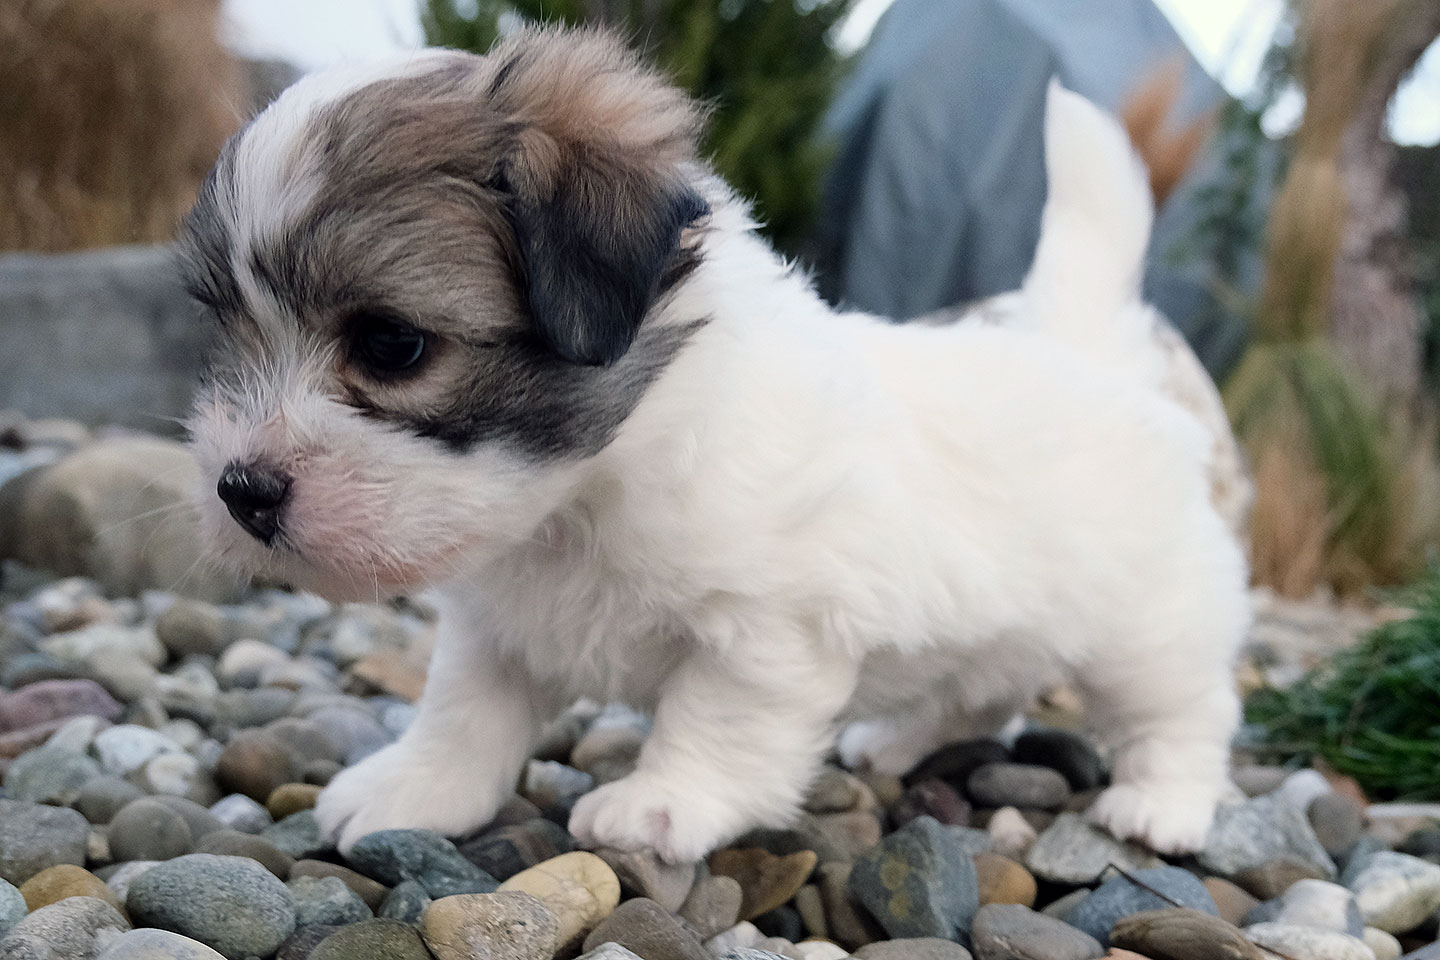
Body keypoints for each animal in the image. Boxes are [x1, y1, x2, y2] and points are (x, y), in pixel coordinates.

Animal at [180, 28, 1250, 863]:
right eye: (228, 335)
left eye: (391, 344)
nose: (243, 490)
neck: (585, 494)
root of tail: (1086, 352)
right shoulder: (497, 627)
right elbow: (465, 713)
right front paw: (415, 789)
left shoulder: (769, 630)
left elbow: (718, 720)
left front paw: (662, 803)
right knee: (977, 694)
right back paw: (897, 744)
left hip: (1147, 629)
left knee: (1184, 711)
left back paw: (1161, 804)